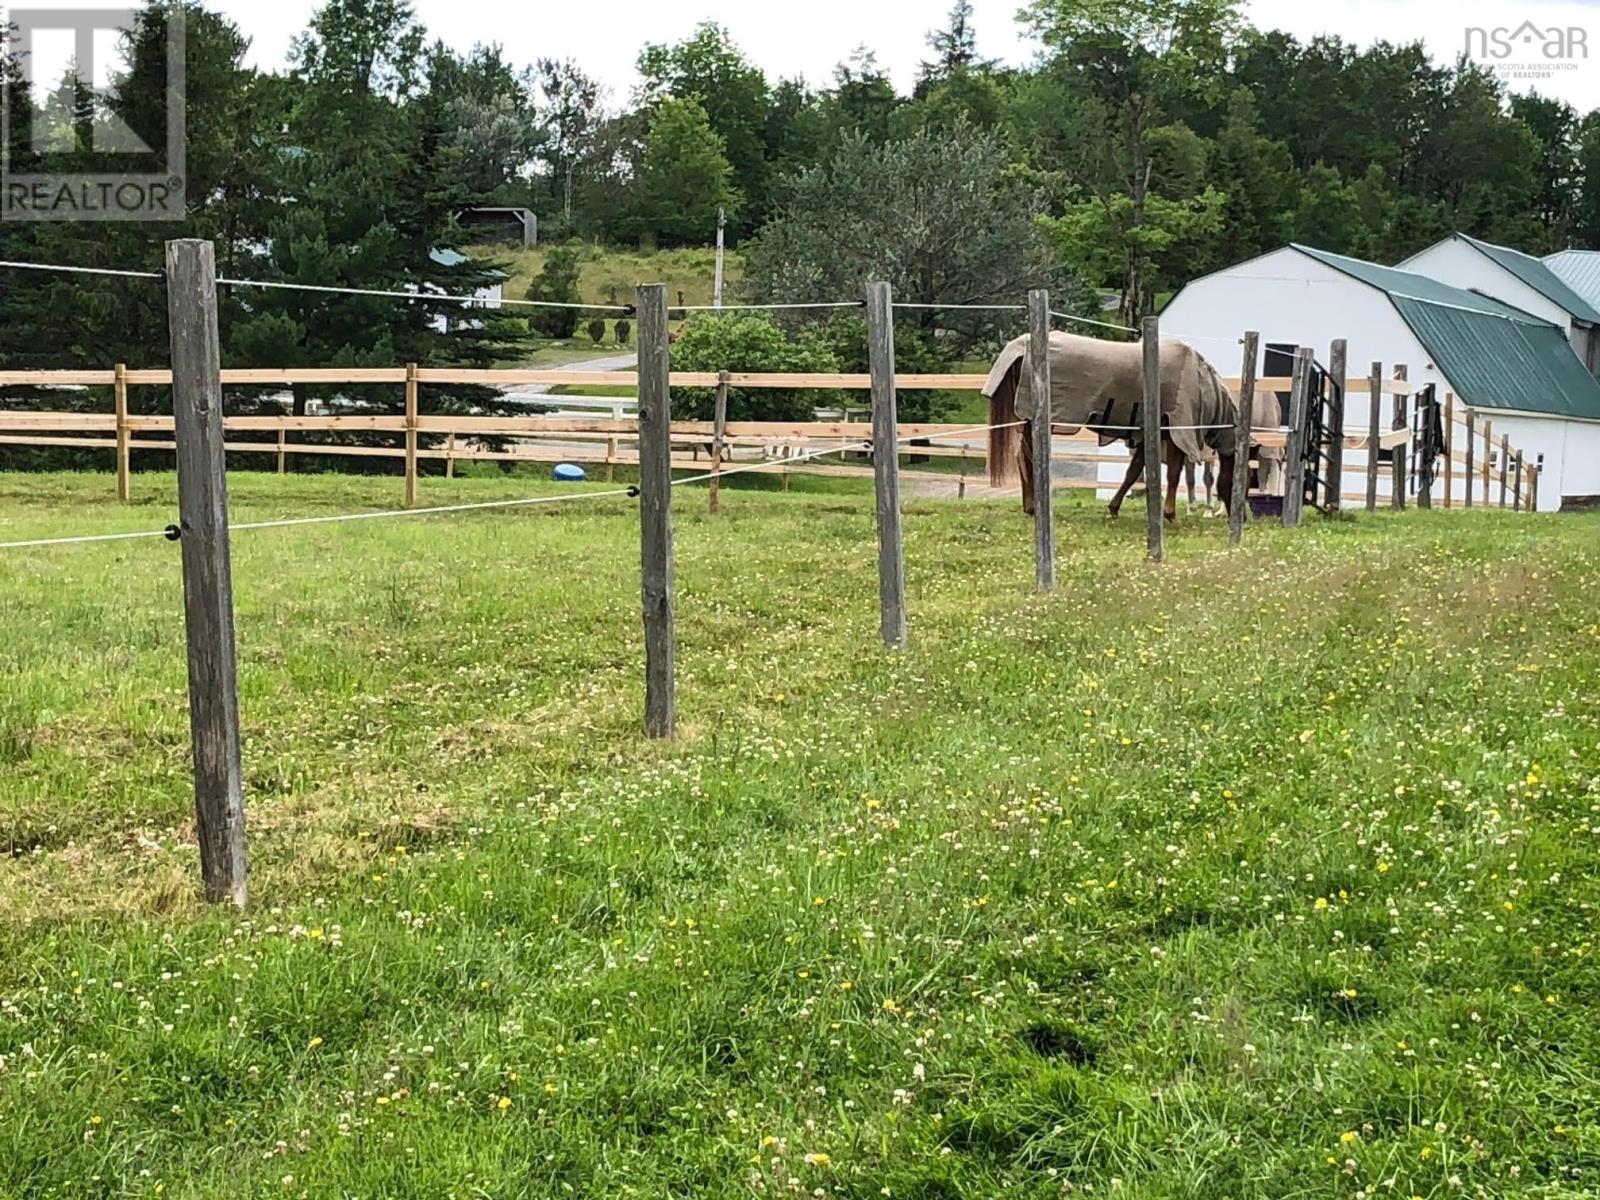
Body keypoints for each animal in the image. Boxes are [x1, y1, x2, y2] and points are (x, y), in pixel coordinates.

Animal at [979, 331, 1280, 524]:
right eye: (1247, 481)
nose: (1246, 517)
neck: (1202, 383)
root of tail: (1022, 347)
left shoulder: (1148, 435)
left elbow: (1133, 473)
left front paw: (1113, 508)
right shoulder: (1174, 433)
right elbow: (1172, 475)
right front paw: (1170, 515)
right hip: (1036, 422)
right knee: (1026, 459)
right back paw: (1032, 506)